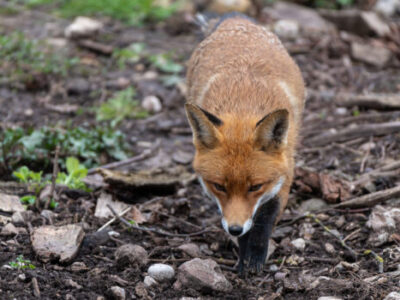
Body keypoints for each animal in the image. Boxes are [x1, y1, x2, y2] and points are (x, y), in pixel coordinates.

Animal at [186, 13, 304, 272]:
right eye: (219, 186)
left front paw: (256, 257)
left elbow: (264, 221)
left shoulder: (284, 173)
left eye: (255, 187)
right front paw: (243, 257)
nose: (234, 228)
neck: (243, 106)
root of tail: (235, 20)